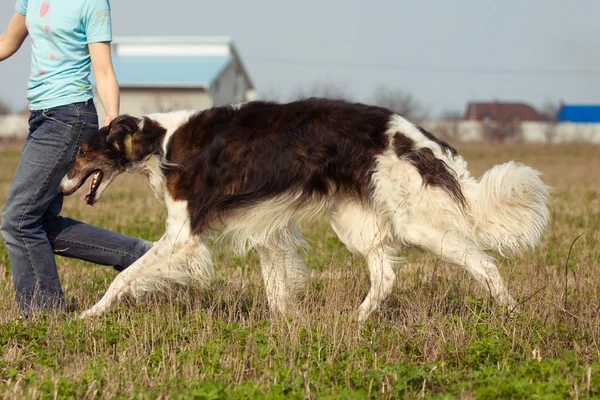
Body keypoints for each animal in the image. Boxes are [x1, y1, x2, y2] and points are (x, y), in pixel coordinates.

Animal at [58, 98, 552, 320]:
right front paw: (289, 325)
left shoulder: (183, 233)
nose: (60, 185)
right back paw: (356, 321)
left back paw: (510, 313)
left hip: (416, 223)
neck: (161, 140)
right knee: (386, 276)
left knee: (485, 264)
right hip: (355, 220)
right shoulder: (263, 225)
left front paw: (89, 316)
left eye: (81, 152)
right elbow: (277, 291)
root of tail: (420, 137)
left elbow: (124, 276)